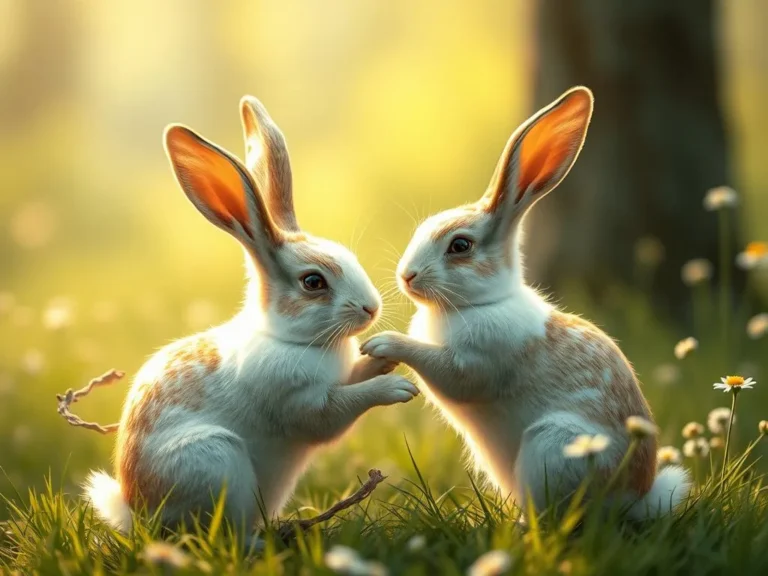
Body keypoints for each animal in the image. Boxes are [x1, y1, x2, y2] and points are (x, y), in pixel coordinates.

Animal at [85, 96, 419, 536]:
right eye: (313, 282)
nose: (371, 308)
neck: (287, 338)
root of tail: (137, 512)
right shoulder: (304, 405)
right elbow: (339, 409)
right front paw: (397, 388)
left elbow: (355, 375)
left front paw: (383, 356)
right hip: (215, 462)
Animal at [360, 87, 690, 519]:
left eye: (460, 246)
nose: (407, 276)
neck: (482, 302)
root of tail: (635, 496)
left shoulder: (474, 365)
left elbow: (446, 371)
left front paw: (383, 345)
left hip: (553, 445)